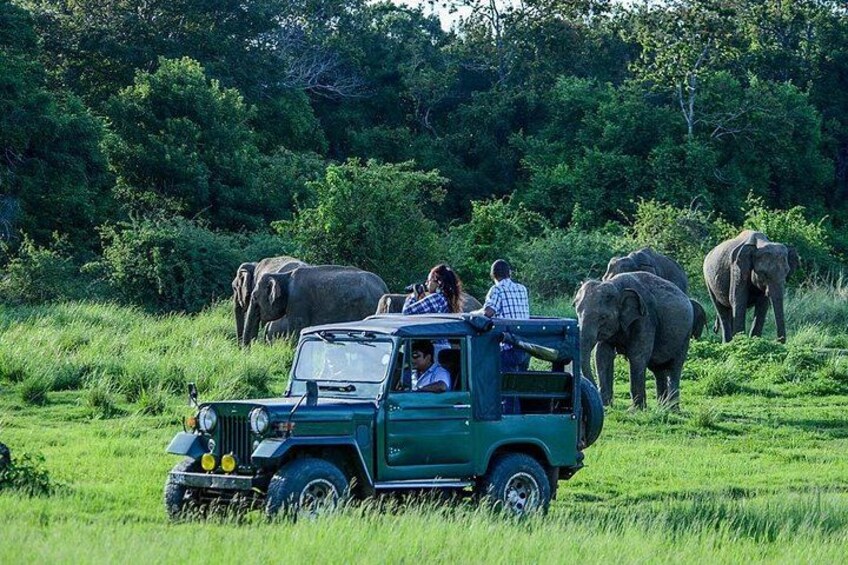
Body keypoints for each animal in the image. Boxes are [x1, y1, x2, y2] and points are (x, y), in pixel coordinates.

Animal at [574, 272, 693, 409]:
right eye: (577, 312)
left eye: (603, 317)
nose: (594, 392)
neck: (616, 286)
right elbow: (602, 355)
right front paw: (606, 405)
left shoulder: (645, 318)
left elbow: (637, 356)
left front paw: (635, 410)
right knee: (658, 370)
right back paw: (662, 407)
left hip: (685, 335)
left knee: (675, 367)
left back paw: (672, 409)